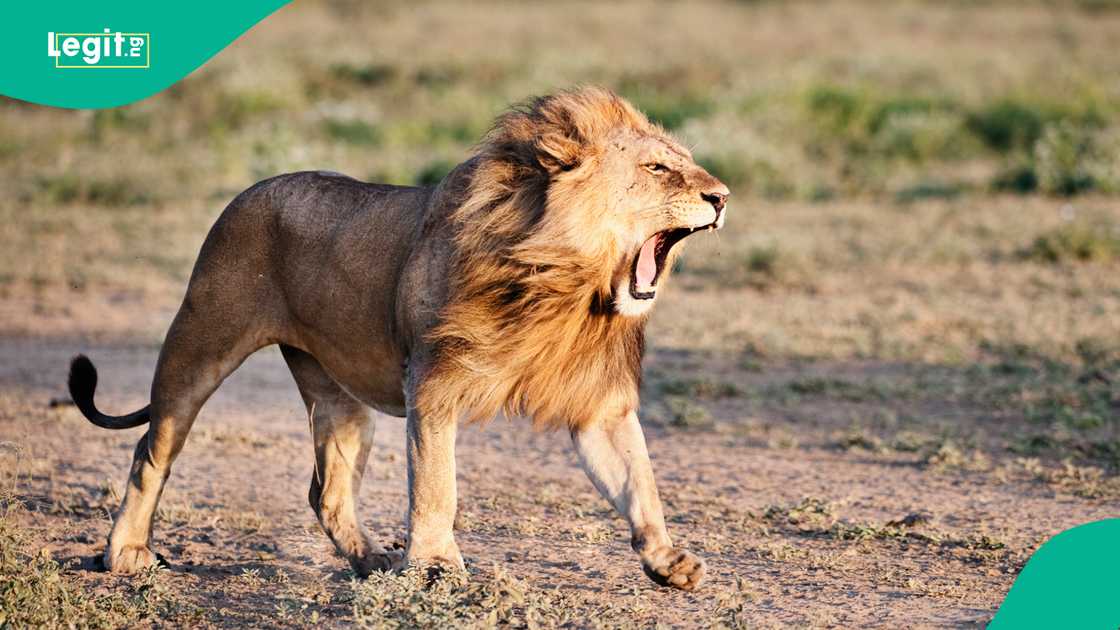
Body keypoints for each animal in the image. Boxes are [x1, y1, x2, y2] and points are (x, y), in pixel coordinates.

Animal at [68, 87, 729, 591]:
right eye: (657, 169)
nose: (722, 197)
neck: (563, 285)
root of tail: (252, 188)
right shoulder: (433, 385)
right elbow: (437, 487)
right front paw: (435, 567)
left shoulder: (599, 405)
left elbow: (639, 481)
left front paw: (667, 560)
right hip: (199, 342)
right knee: (151, 450)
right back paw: (124, 554)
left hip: (338, 397)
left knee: (327, 492)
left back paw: (372, 562)